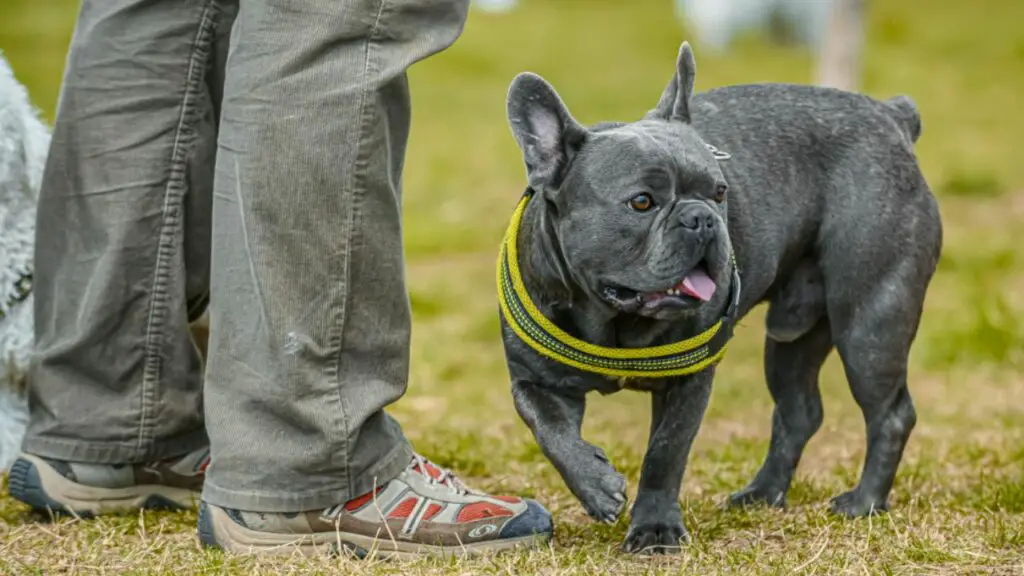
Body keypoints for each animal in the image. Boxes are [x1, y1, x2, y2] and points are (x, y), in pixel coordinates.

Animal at [499, 41, 937, 553]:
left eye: (720, 191)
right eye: (641, 201)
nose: (702, 217)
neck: (613, 319)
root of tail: (891, 116)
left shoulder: (689, 382)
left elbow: (665, 452)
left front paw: (655, 530)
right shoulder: (534, 381)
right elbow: (549, 431)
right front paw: (596, 487)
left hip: (871, 321)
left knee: (890, 413)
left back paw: (864, 503)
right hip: (793, 339)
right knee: (799, 411)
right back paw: (762, 494)